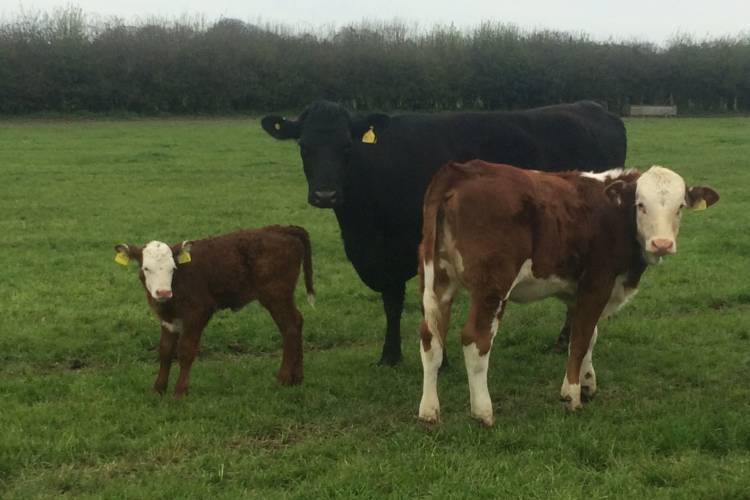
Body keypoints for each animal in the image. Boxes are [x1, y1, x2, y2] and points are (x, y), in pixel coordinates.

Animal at [114, 226, 315, 397]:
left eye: (173, 268)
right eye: (146, 268)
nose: (163, 292)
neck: (178, 283)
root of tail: (282, 229)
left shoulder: (198, 313)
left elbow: (186, 350)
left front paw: (179, 392)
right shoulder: (168, 319)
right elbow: (165, 351)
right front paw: (158, 389)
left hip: (276, 295)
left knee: (289, 328)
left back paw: (283, 378)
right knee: (298, 321)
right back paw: (297, 378)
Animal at [261, 100, 626, 366]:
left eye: (347, 146)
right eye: (304, 146)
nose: (325, 195)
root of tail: (594, 107)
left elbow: (429, 303)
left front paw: (441, 359)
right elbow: (392, 303)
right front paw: (390, 355)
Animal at [417, 161, 719, 425]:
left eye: (680, 207)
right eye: (641, 205)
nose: (662, 244)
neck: (615, 214)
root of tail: (462, 170)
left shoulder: (578, 293)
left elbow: (589, 335)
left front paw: (587, 383)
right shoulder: (597, 283)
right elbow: (580, 339)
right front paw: (571, 394)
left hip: (438, 282)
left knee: (430, 338)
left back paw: (429, 411)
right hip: (491, 288)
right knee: (475, 340)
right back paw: (482, 412)